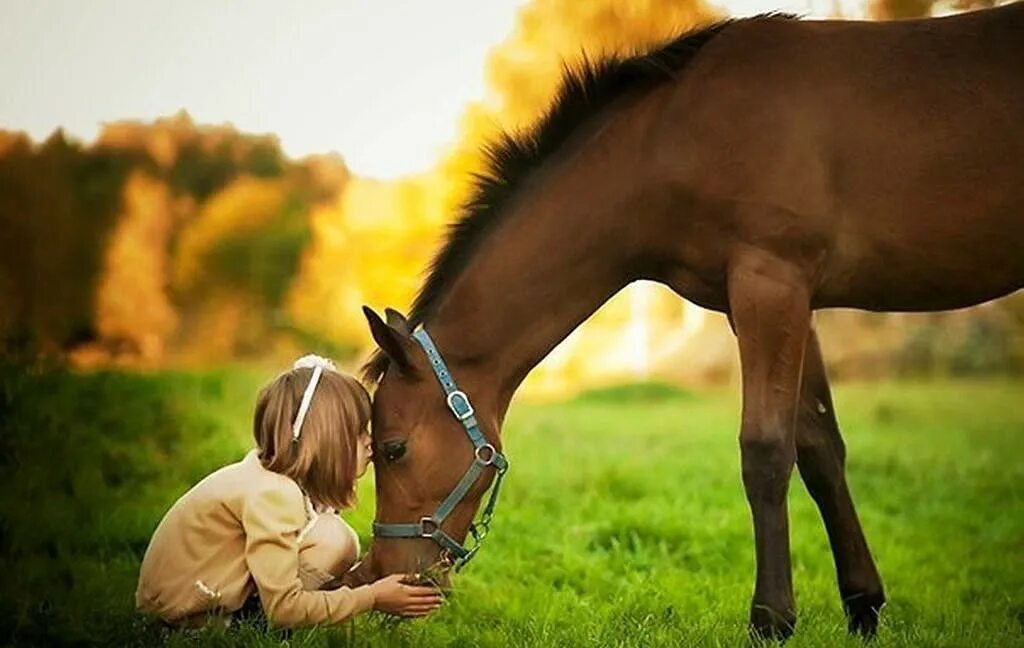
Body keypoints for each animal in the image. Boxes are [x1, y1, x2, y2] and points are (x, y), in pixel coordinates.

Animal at [346, 5, 1024, 638]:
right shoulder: (782, 302)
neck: (672, 139)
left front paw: (771, 619)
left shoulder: (770, 284)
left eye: (394, 448)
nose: (383, 577)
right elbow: (820, 449)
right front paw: (863, 606)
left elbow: (765, 450)